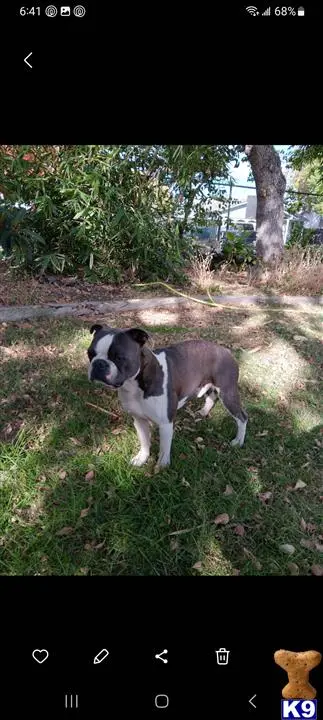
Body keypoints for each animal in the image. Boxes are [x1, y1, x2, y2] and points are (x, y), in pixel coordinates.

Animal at [87, 324, 249, 470]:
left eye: (119, 357)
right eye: (90, 354)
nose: (99, 363)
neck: (134, 384)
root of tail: (226, 350)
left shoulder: (165, 423)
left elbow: (164, 449)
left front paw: (161, 467)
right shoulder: (139, 420)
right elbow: (144, 442)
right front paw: (142, 458)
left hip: (228, 393)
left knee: (242, 417)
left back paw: (238, 441)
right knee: (211, 397)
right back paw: (203, 412)